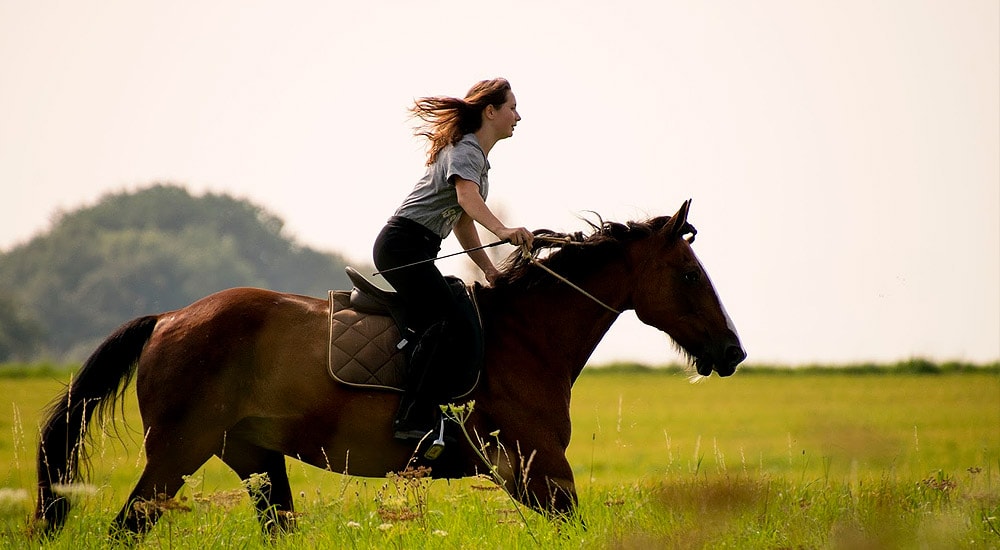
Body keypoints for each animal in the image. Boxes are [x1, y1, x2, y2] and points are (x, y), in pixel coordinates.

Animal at [35, 201, 744, 540]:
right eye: (688, 275)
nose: (733, 351)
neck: (526, 335)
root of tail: (169, 318)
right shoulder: (539, 469)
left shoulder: (536, 474)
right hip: (178, 452)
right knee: (125, 528)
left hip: (255, 459)